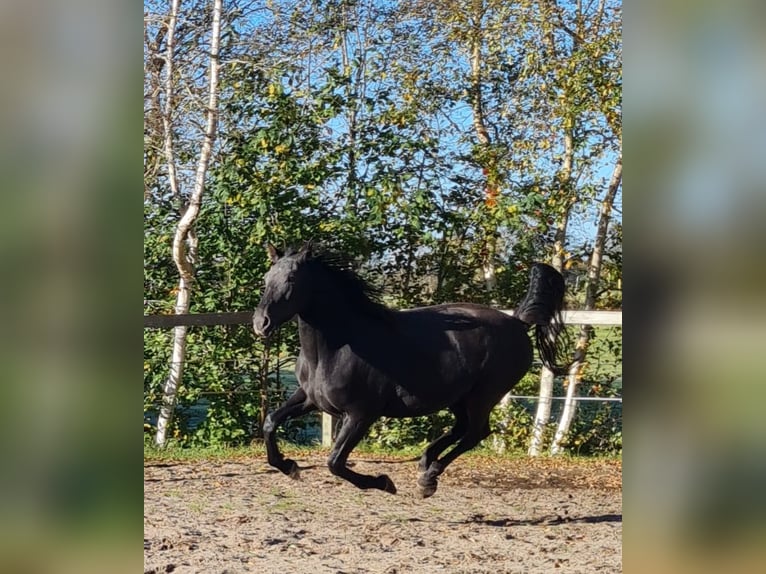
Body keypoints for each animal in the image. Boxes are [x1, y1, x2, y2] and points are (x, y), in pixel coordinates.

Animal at [255, 241, 572, 498]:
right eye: (267, 278)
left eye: (292, 279)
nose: (261, 323)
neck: (339, 347)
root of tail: (518, 322)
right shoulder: (311, 399)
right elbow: (270, 422)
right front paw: (289, 466)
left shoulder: (361, 414)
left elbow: (335, 462)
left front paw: (384, 482)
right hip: (459, 398)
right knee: (462, 429)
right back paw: (426, 461)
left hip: (483, 396)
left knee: (475, 433)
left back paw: (429, 478)